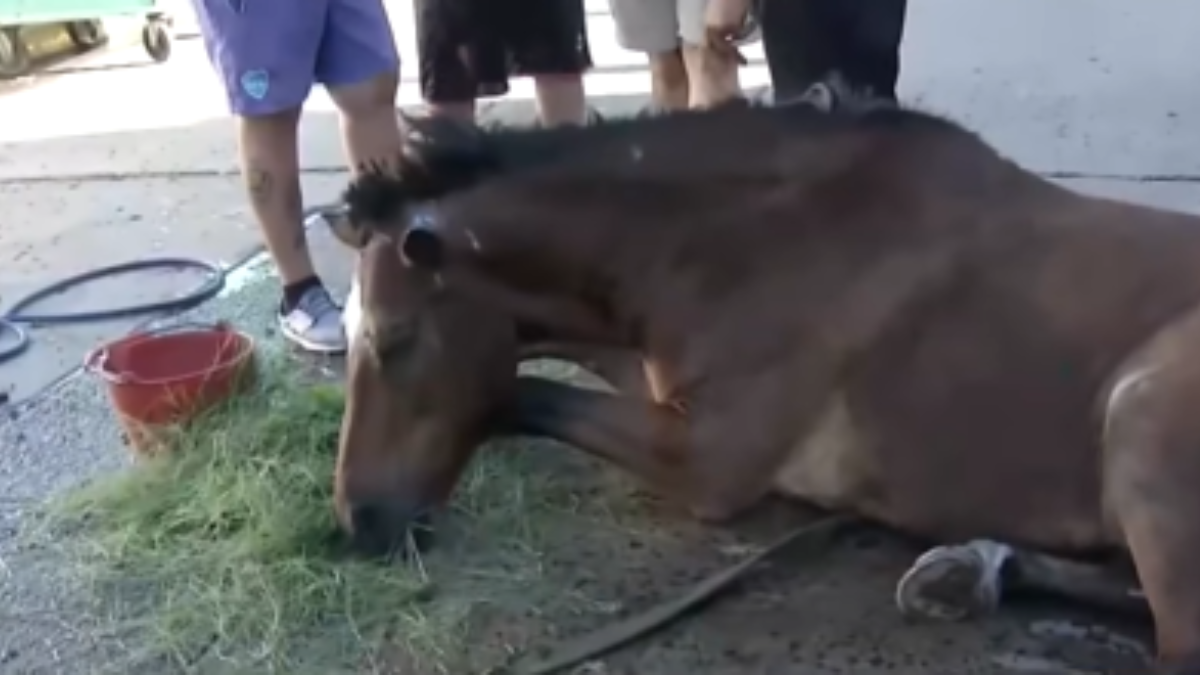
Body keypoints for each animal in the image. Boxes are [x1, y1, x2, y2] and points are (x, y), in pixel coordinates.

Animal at [329, 96, 1200, 673]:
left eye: (393, 338)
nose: (361, 522)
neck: (749, 242)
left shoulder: (711, 461)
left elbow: (518, 394)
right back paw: (967, 571)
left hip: (1140, 412)